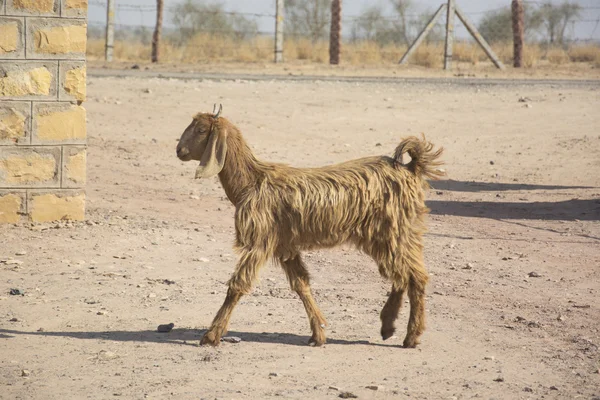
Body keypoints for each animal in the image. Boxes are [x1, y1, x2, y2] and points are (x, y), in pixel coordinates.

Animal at [176, 105, 442, 346]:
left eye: (201, 129)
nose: (179, 150)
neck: (251, 181)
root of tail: (410, 169)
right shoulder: (286, 245)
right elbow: (301, 284)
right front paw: (318, 333)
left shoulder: (259, 241)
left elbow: (238, 285)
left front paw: (211, 335)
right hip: (388, 236)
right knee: (401, 275)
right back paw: (388, 326)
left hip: (393, 232)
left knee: (415, 276)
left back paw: (411, 336)